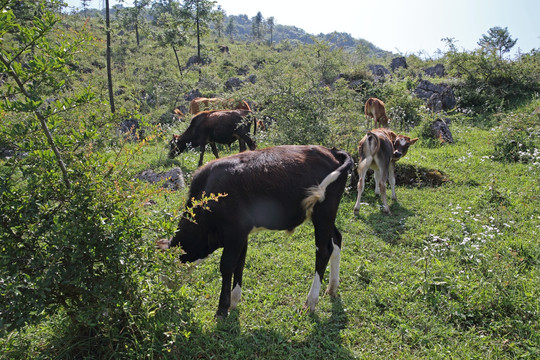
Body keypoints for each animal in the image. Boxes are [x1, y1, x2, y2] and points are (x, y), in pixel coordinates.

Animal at [156, 145, 354, 316]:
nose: (165, 297)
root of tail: (331, 151)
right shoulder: (241, 235)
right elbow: (240, 263)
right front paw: (234, 301)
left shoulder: (234, 233)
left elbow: (227, 266)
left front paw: (222, 308)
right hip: (324, 216)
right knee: (336, 241)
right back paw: (332, 287)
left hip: (324, 213)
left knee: (323, 252)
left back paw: (310, 302)